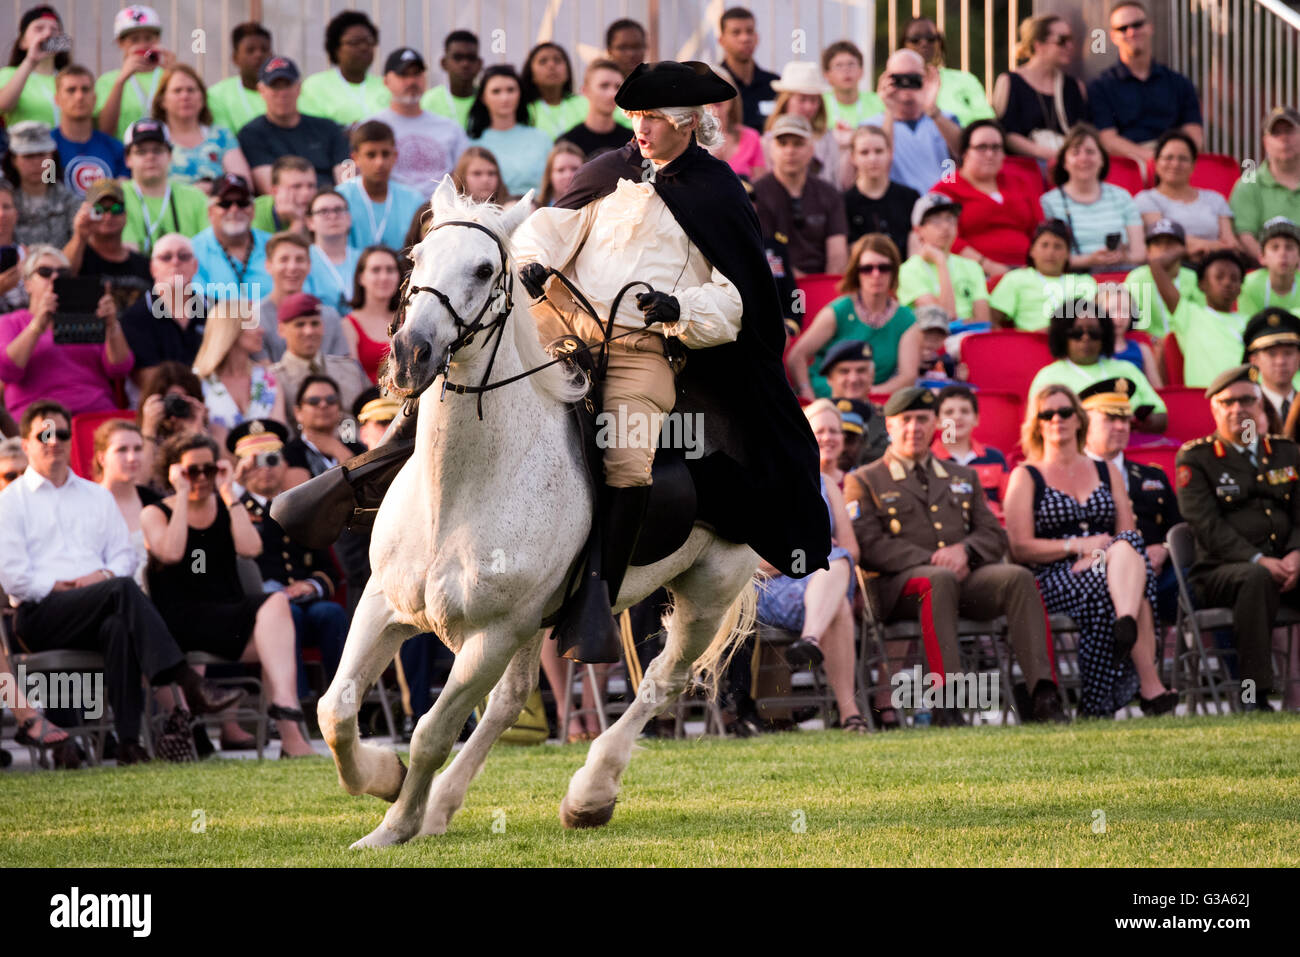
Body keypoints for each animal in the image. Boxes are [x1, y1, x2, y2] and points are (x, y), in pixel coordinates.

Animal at [316, 177, 759, 849]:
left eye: (482, 269)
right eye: (416, 259)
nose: (411, 354)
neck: (459, 495)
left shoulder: (492, 636)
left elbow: (430, 733)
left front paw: (396, 822)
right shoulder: (384, 605)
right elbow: (336, 709)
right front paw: (384, 782)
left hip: (706, 591)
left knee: (660, 682)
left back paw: (589, 794)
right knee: (511, 700)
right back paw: (445, 806)